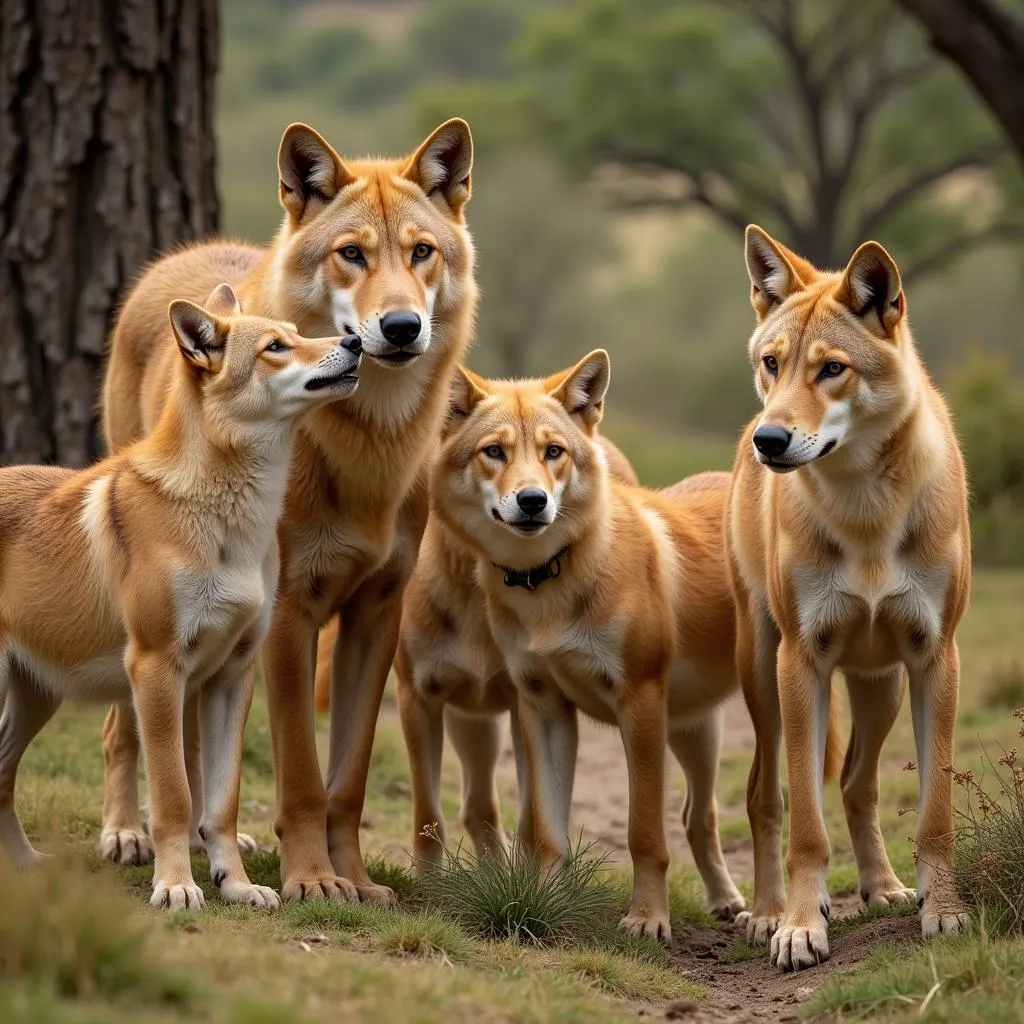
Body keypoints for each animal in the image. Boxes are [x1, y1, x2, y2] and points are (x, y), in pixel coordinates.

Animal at [0, 284, 360, 909]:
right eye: (275, 347)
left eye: (296, 332)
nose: (358, 340)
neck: (226, 526)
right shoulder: (157, 671)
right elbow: (174, 798)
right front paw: (175, 886)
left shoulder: (231, 677)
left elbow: (220, 807)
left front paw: (235, 886)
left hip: (35, 700)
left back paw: (26, 866)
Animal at [97, 117, 477, 905]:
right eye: (352, 254)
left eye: (421, 253)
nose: (400, 327)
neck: (369, 446)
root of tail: (188, 256)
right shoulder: (288, 615)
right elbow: (301, 775)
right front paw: (312, 879)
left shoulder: (374, 615)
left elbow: (346, 782)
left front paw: (355, 880)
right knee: (127, 728)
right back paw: (126, 832)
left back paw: (210, 839)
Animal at [729, 228, 966, 970]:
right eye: (773, 364)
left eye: (831, 370)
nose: (769, 439)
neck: (866, 515)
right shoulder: (803, 662)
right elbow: (805, 823)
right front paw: (801, 927)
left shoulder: (935, 658)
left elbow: (935, 811)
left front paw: (943, 911)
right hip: (765, 679)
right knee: (764, 796)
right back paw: (766, 913)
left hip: (879, 685)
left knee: (859, 785)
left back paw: (883, 888)